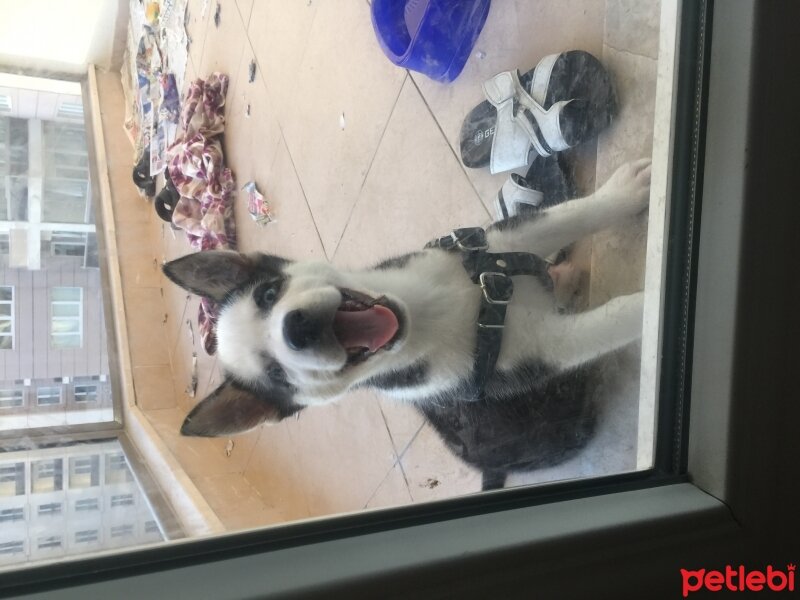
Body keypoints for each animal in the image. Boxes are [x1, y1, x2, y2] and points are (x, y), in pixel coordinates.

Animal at [161, 159, 648, 482]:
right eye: (277, 376)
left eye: (268, 294)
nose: (297, 329)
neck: (431, 309)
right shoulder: (542, 351)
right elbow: (613, 318)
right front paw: (649, 297)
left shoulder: (490, 245)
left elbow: (565, 215)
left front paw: (625, 194)